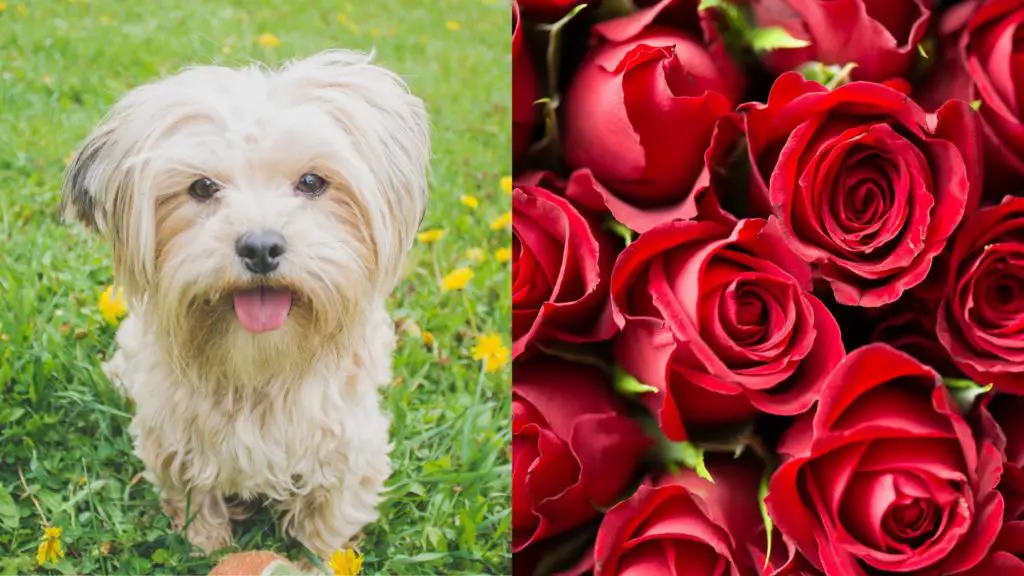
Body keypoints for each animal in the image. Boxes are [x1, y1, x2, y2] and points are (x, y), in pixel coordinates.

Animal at [59, 50, 428, 557]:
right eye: (201, 188)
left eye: (311, 181)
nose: (260, 247)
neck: (259, 372)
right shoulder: (176, 446)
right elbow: (198, 503)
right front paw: (208, 546)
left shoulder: (351, 450)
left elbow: (326, 524)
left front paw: (318, 558)